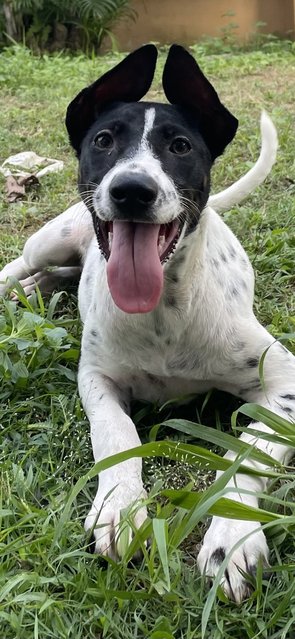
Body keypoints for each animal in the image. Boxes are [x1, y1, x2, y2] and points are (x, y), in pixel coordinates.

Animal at [0, 46, 295, 604]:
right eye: (103, 140)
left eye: (180, 146)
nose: (132, 190)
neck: (163, 312)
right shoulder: (96, 376)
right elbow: (117, 434)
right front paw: (120, 508)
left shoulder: (284, 381)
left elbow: (248, 454)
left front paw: (232, 535)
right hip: (51, 238)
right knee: (23, 264)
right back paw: (16, 287)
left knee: (58, 275)